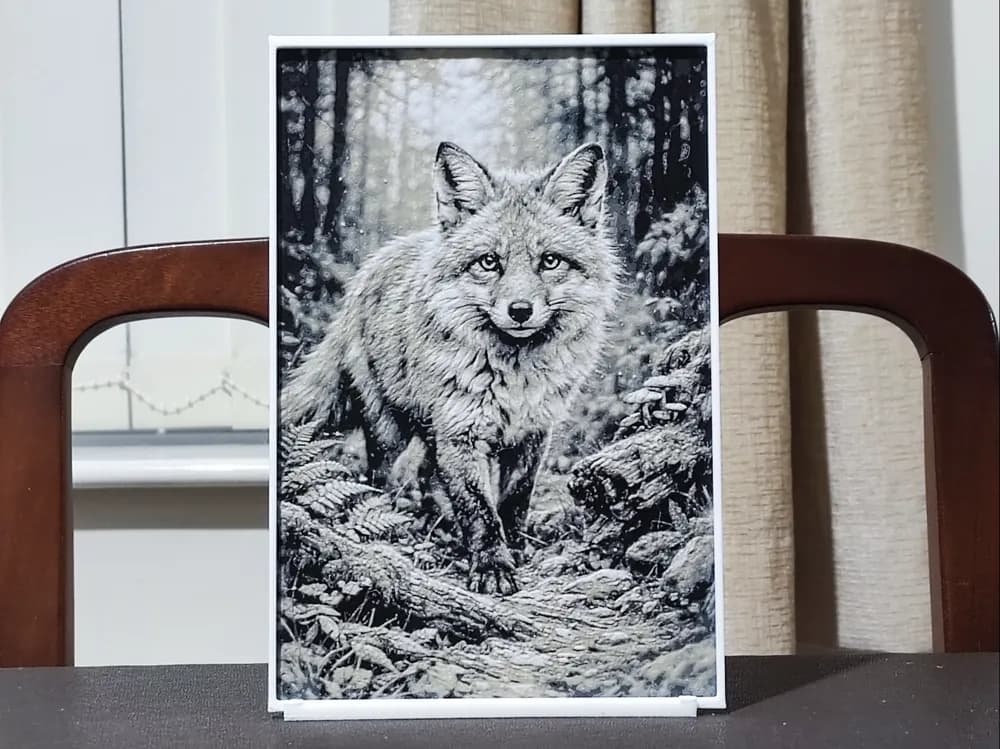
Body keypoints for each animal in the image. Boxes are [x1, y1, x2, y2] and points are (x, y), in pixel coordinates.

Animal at [282, 140, 621, 595]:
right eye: (489, 262)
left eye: (550, 261)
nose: (519, 311)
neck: (515, 377)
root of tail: (368, 271)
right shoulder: (461, 433)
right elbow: (479, 510)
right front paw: (492, 565)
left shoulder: (533, 432)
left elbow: (514, 501)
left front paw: (514, 550)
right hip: (389, 427)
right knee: (382, 475)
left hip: (431, 430)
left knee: (428, 475)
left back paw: (435, 517)